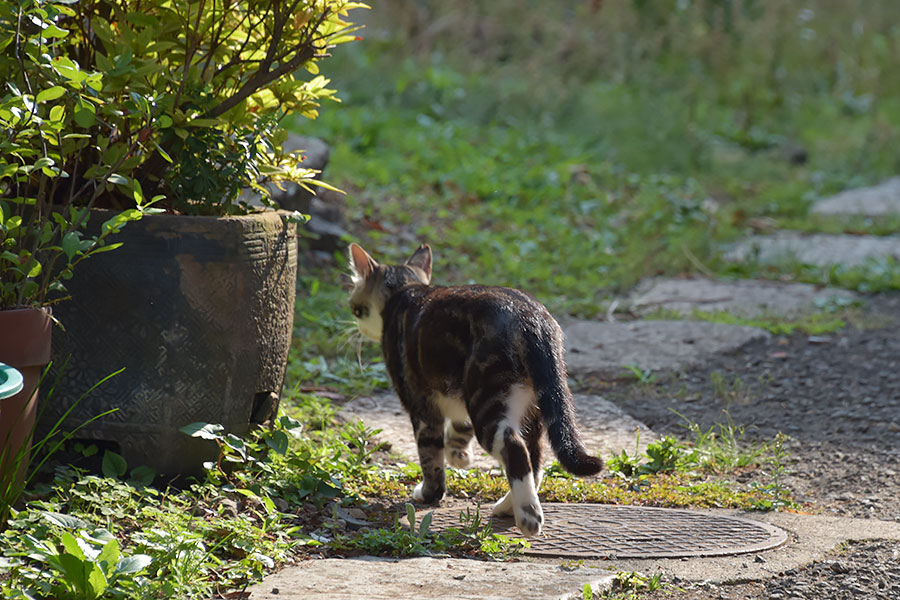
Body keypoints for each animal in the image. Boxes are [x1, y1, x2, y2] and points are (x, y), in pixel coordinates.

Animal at [348, 244, 600, 540]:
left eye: (355, 307)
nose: (357, 326)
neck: (406, 289)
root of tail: (534, 319)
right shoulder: (456, 394)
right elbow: (459, 428)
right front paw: (458, 455)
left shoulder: (420, 404)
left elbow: (430, 455)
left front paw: (430, 493)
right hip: (532, 407)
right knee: (535, 460)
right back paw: (508, 505)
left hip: (487, 396)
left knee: (515, 449)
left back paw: (528, 515)